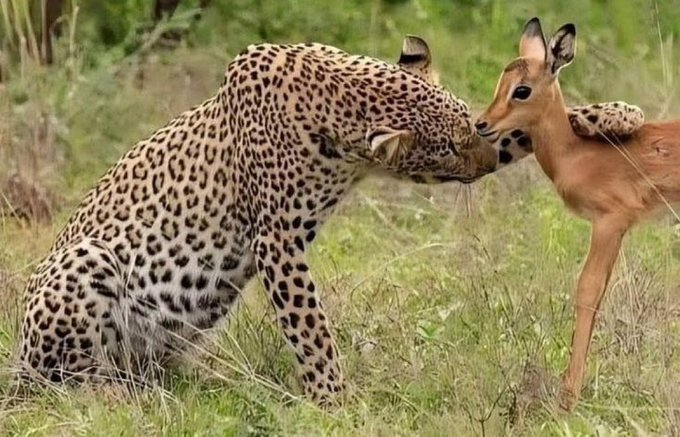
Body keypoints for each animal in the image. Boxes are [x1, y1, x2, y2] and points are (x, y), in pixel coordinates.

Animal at [476, 17, 680, 410]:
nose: (482, 123)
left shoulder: (609, 223)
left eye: (521, 90)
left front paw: (567, 397)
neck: (575, 154)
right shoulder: (616, 230)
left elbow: (587, 291)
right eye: (501, 81)